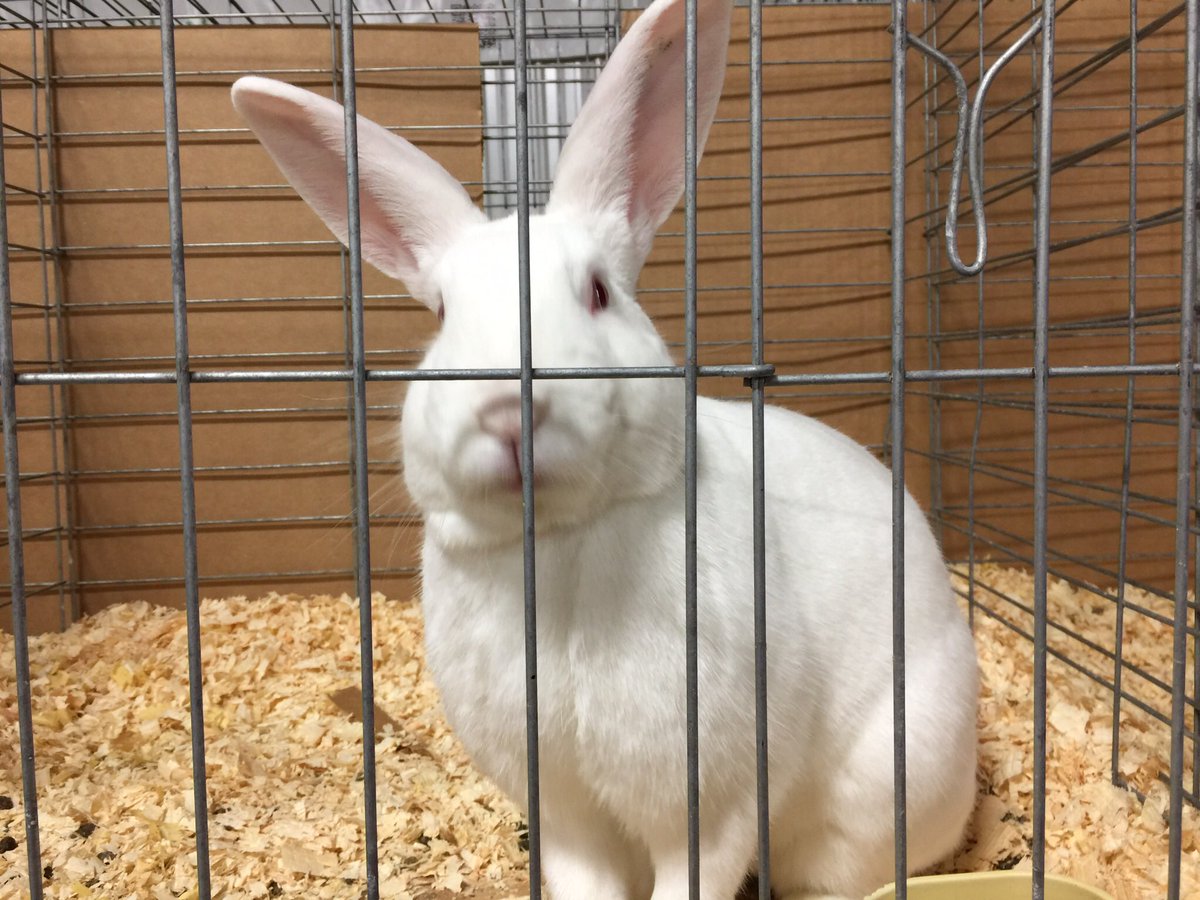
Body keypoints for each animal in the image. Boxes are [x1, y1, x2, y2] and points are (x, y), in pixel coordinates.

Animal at [230, 0, 979, 897]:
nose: (507, 412)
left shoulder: (712, 803)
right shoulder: (564, 809)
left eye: (597, 292)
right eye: (442, 315)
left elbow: (698, 869)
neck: (557, 544)